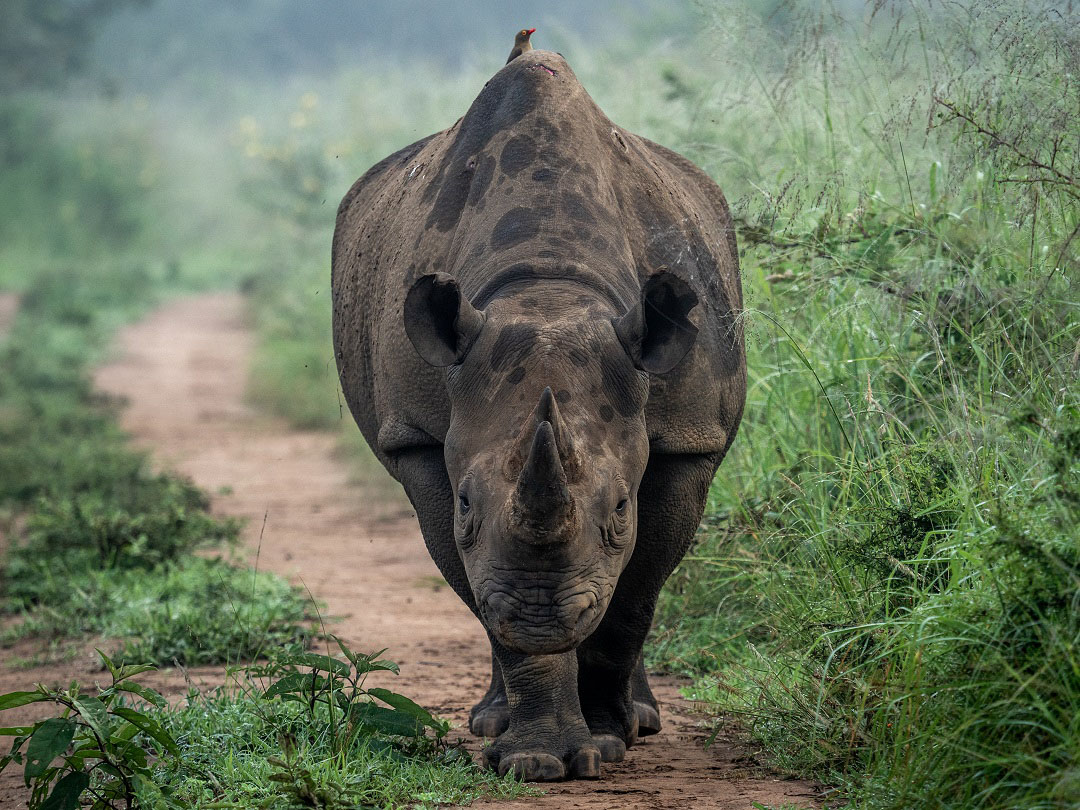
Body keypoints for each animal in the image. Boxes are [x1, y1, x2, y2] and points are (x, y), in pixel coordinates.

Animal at [332, 49, 746, 781]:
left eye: (619, 509)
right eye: (466, 505)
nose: (542, 617)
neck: (549, 288)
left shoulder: (688, 439)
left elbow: (633, 594)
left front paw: (607, 737)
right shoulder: (420, 438)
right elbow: (482, 589)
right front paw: (536, 758)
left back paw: (639, 720)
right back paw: (493, 720)